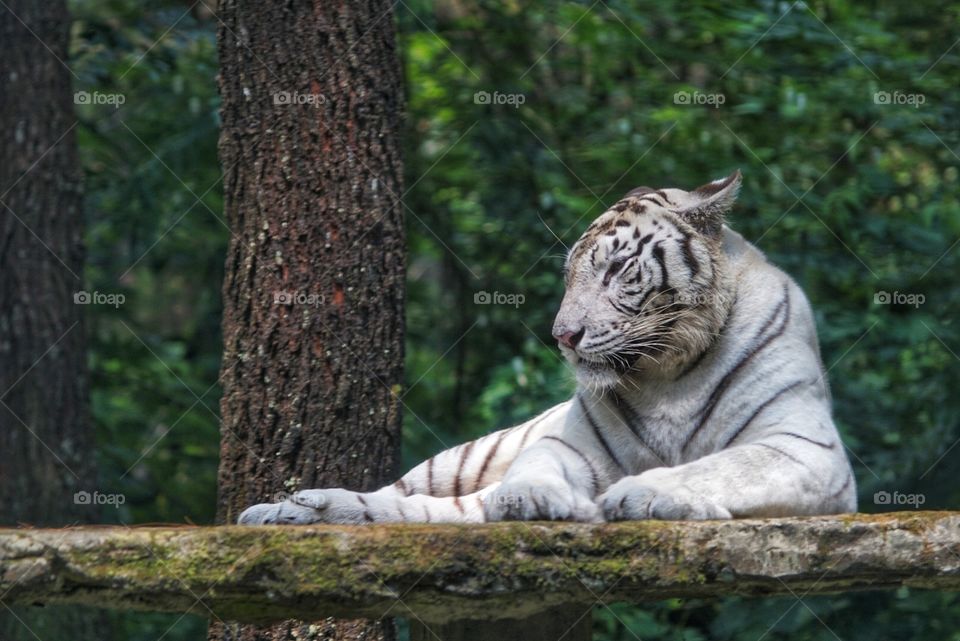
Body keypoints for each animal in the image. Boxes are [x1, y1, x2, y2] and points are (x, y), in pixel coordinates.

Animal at [238, 171, 856, 524]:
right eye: (569, 276)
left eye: (617, 270)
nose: (562, 336)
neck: (670, 372)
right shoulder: (572, 444)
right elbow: (539, 463)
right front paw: (530, 498)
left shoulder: (805, 448)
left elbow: (717, 467)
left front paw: (638, 495)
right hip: (459, 459)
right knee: (403, 495)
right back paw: (288, 510)